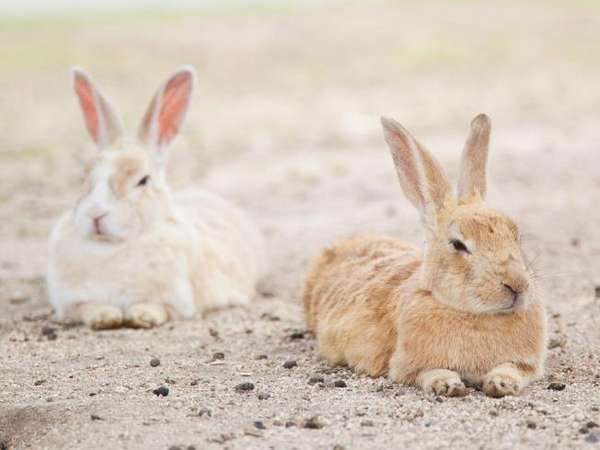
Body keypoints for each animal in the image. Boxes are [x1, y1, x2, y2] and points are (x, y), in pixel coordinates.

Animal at [44, 65, 264, 328]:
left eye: (143, 180)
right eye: (84, 177)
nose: (96, 214)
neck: (113, 246)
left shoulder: (176, 302)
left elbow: (157, 308)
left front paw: (141, 316)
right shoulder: (70, 303)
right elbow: (87, 308)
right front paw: (106, 317)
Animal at [304, 114, 548, 396]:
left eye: (515, 234)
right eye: (458, 244)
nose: (517, 284)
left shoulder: (527, 365)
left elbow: (512, 368)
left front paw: (501, 383)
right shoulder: (406, 366)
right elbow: (427, 372)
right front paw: (448, 384)